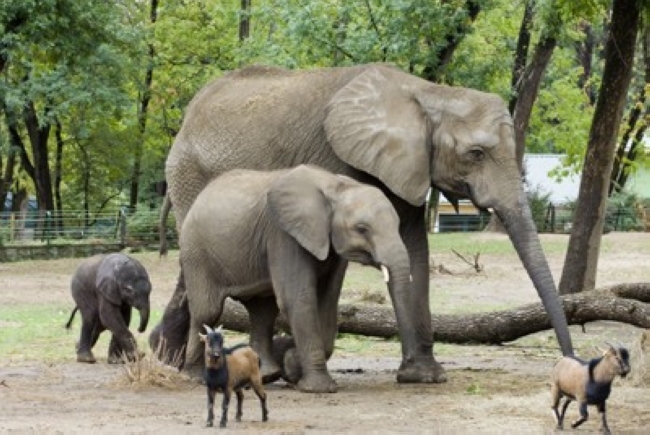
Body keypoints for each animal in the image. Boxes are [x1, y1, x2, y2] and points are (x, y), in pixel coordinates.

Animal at [180, 165, 408, 394]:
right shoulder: (283, 234)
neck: (336, 187)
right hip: (196, 252)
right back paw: (195, 376)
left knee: (263, 312)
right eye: (361, 229)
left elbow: (327, 302)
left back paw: (265, 374)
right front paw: (318, 388)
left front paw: (291, 365)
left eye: (398, 225)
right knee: (207, 311)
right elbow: (299, 299)